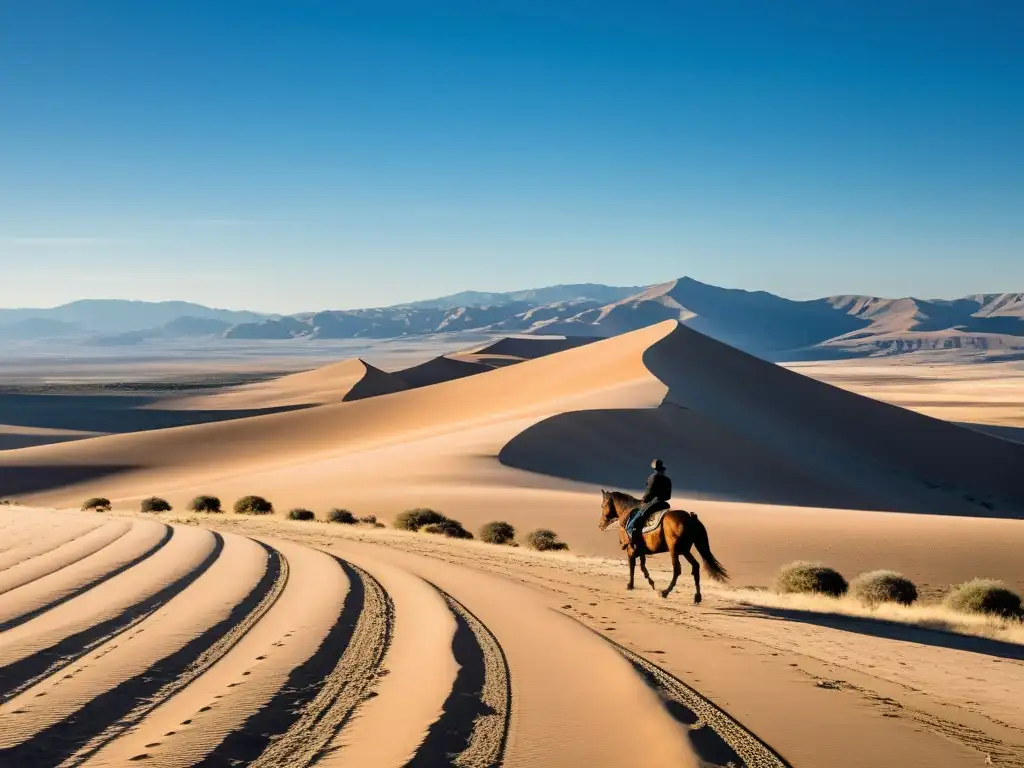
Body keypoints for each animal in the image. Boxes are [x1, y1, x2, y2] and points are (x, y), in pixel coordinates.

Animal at [598, 489, 729, 606]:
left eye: (602, 505)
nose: (600, 525)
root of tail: (690, 518)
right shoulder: (641, 551)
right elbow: (643, 567)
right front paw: (651, 583)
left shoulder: (631, 550)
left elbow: (632, 567)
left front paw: (630, 585)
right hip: (684, 550)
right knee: (695, 566)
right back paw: (697, 597)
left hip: (674, 550)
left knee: (677, 570)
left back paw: (665, 592)